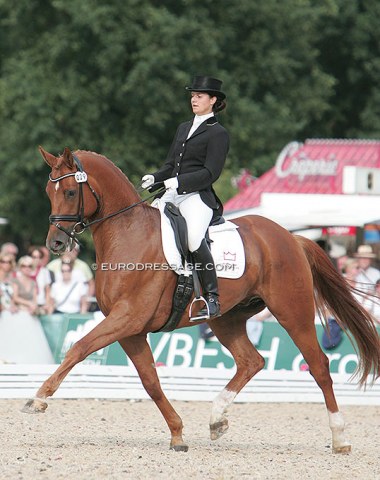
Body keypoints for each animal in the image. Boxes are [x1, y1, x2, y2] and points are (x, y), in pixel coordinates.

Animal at [23, 146, 380, 454]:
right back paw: (217, 419)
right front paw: (178, 434)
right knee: (252, 361)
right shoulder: (130, 330)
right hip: (226, 318)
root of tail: (291, 237)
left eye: (71, 192)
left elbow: (79, 348)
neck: (128, 233)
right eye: (48, 192)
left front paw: (39, 398)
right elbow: (150, 382)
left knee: (318, 365)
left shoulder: (127, 318)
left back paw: (340, 438)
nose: (55, 244)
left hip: (292, 311)